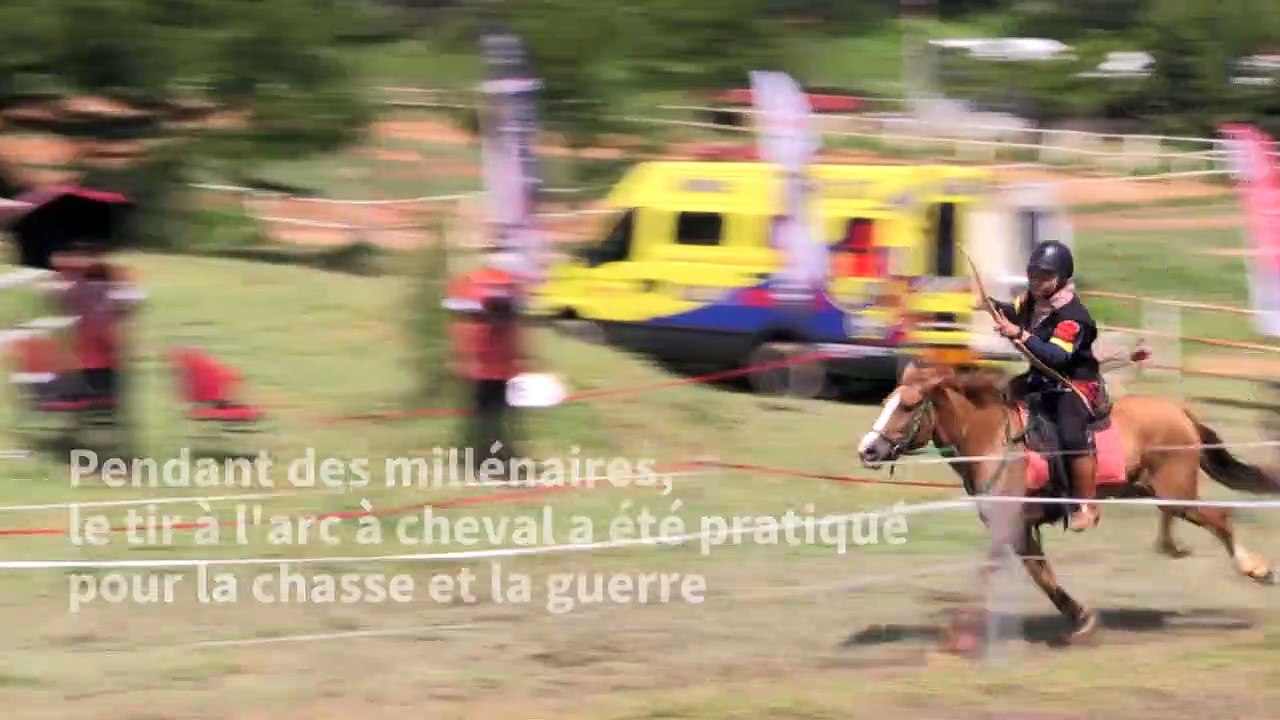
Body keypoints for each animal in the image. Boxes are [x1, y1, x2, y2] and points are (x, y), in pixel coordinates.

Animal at [856, 362, 1280, 643]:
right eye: (886, 401)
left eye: (908, 406)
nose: (868, 450)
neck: (995, 440)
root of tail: (1181, 412)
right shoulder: (1020, 530)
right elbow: (1041, 576)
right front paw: (1082, 617)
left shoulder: (1010, 526)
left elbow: (996, 573)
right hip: (1154, 490)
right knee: (1183, 520)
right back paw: (1173, 546)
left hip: (1177, 492)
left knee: (1219, 517)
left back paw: (1255, 568)